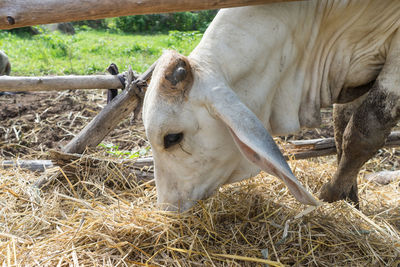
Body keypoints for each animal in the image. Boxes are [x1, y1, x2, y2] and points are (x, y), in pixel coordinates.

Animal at [143, 0, 400, 213]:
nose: (166, 208)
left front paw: (331, 194)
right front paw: (350, 200)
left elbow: (363, 132)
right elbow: (340, 129)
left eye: (172, 138)